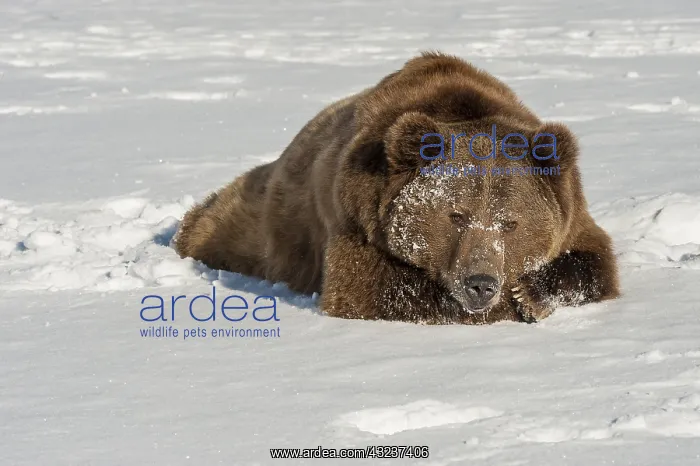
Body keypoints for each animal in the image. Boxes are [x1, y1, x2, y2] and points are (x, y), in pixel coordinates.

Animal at [174, 51, 620, 325]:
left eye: (510, 223)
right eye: (456, 215)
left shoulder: (571, 211)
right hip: (265, 218)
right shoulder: (358, 221)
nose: (481, 284)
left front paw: (529, 292)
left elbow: (593, 261)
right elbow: (377, 295)